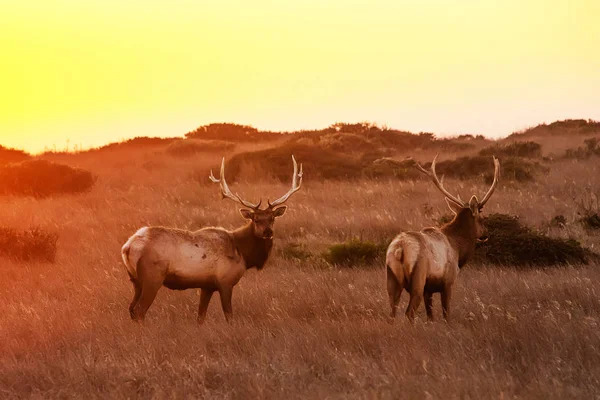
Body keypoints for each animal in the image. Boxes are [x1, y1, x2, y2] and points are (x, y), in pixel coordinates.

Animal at [121, 155, 302, 322]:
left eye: (272, 218)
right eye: (256, 219)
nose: (267, 232)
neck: (243, 253)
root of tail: (128, 247)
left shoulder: (206, 286)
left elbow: (200, 316)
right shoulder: (225, 281)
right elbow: (229, 315)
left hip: (135, 280)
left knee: (131, 309)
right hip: (152, 277)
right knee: (139, 310)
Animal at [386, 155, 500, 324]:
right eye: (481, 217)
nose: (485, 234)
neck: (458, 248)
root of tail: (399, 249)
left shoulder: (429, 289)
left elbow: (430, 316)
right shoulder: (447, 282)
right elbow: (446, 314)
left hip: (392, 280)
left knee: (392, 313)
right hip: (418, 278)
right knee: (409, 312)